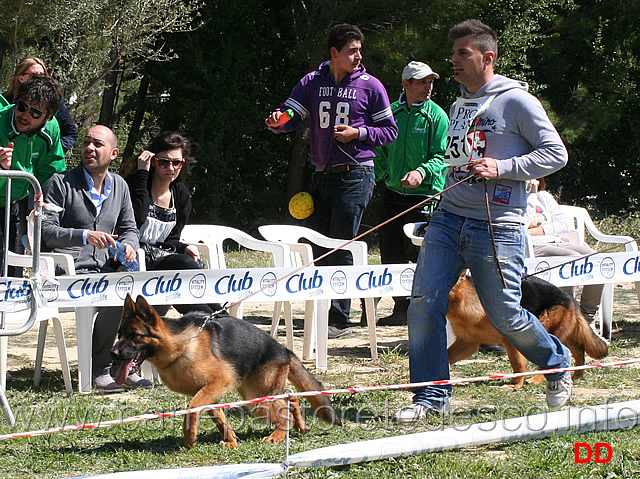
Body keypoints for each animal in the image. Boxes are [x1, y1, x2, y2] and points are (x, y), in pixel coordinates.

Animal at [111, 294, 340, 448]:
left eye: (135, 335)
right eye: (120, 334)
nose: (113, 353)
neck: (182, 344)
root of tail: (284, 349)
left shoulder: (215, 384)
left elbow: (191, 408)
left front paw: (189, 437)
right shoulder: (209, 393)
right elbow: (218, 416)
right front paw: (230, 440)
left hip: (259, 401)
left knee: (286, 411)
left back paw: (277, 436)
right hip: (256, 393)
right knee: (292, 399)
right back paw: (301, 426)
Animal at [444, 272, 604, 388]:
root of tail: (571, 299)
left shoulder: (511, 341)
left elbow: (517, 364)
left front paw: (516, 385)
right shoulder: (467, 343)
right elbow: (448, 355)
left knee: (555, 356)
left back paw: (537, 379)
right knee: (578, 350)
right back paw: (577, 374)